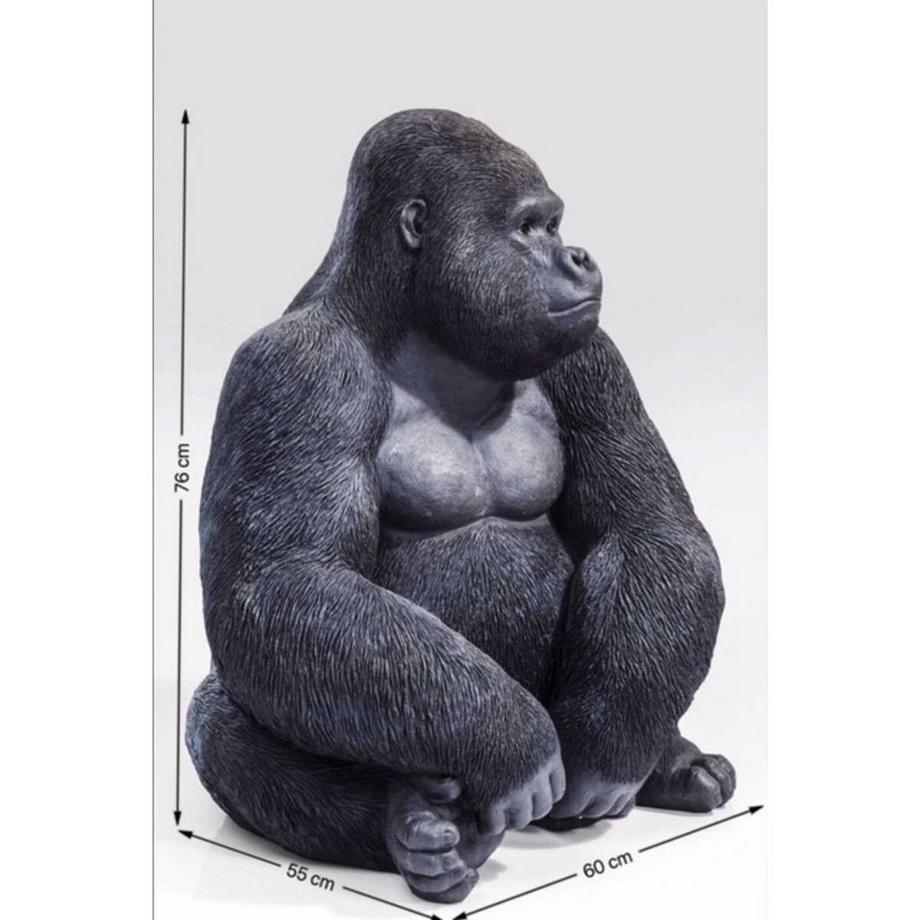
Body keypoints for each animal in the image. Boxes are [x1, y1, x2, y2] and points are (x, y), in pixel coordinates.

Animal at [187, 109, 735, 904]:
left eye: (554, 224)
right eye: (530, 227)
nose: (578, 255)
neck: (411, 323)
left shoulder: (592, 355)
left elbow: (653, 531)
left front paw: (607, 747)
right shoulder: (296, 371)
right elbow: (280, 585)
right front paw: (514, 745)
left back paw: (667, 759)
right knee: (216, 717)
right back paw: (413, 829)